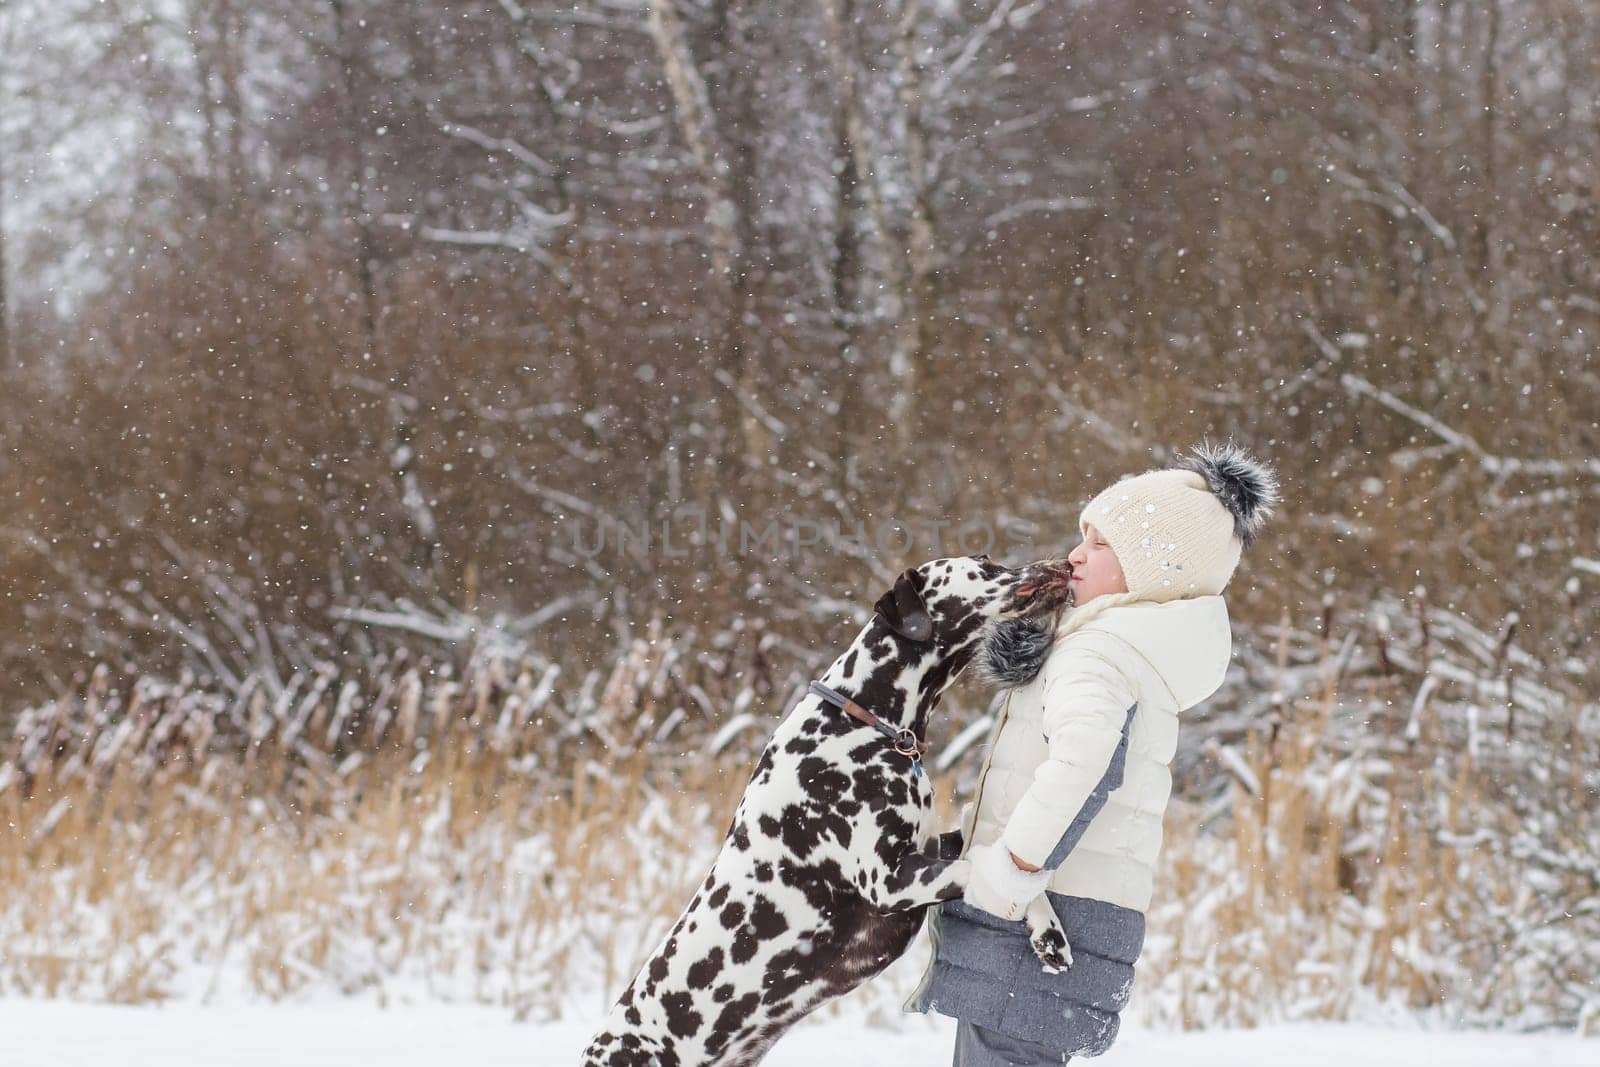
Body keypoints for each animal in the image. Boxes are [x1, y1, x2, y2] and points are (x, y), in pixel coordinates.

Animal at [585, 559, 1075, 1067]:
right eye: (984, 566)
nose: (1059, 562)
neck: (865, 721)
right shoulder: (890, 881)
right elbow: (976, 867)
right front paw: (1045, 925)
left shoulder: (928, 847)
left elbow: (994, 860)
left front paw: (1046, 929)